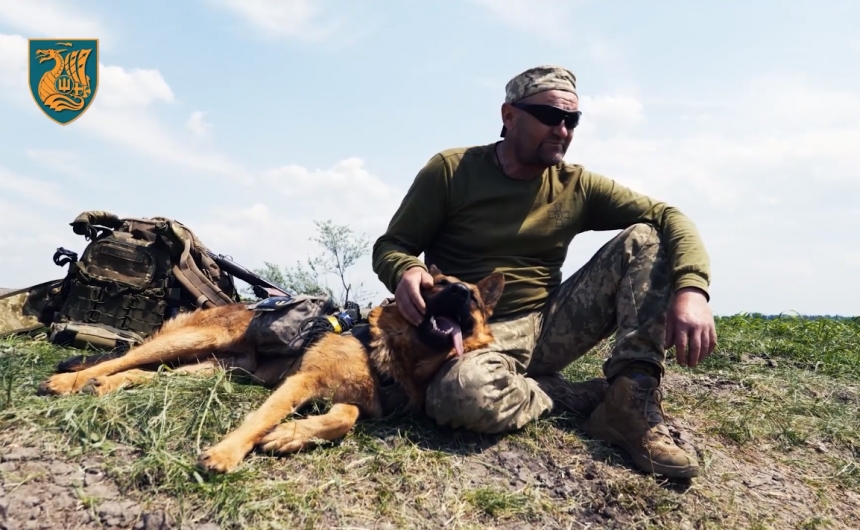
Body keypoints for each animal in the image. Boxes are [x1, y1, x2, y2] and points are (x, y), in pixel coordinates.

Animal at [37, 266, 504, 472]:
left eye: (474, 300)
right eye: (436, 284)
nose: (462, 292)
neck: (393, 352)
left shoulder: (352, 401)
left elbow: (346, 416)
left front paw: (289, 436)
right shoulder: (302, 380)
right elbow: (262, 416)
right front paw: (228, 452)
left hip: (213, 370)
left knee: (149, 374)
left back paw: (102, 385)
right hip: (194, 341)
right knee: (126, 357)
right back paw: (69, 380)